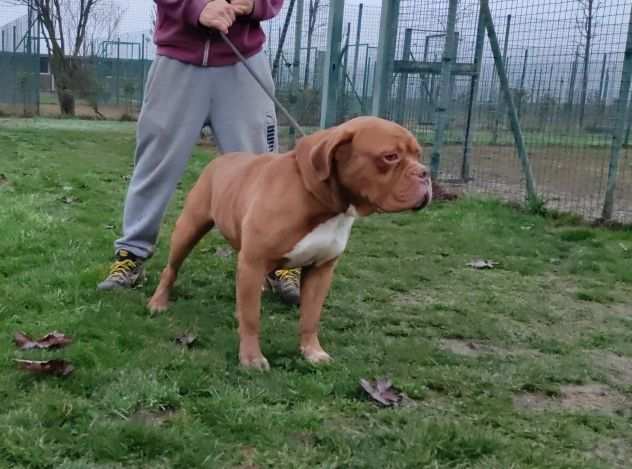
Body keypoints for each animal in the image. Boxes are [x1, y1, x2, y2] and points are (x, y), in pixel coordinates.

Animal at [149, 116, 430, 370]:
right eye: (390, 156)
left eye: (419, 154)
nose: (425, 173)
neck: (323, 202)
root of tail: (222, 159)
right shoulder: (253, 262)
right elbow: (252, 318)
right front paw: (251, 358)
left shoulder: (321, 271)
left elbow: (310, 318)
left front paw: (312, 352)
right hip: (189, 230)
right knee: (171, 269)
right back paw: (158, 302)